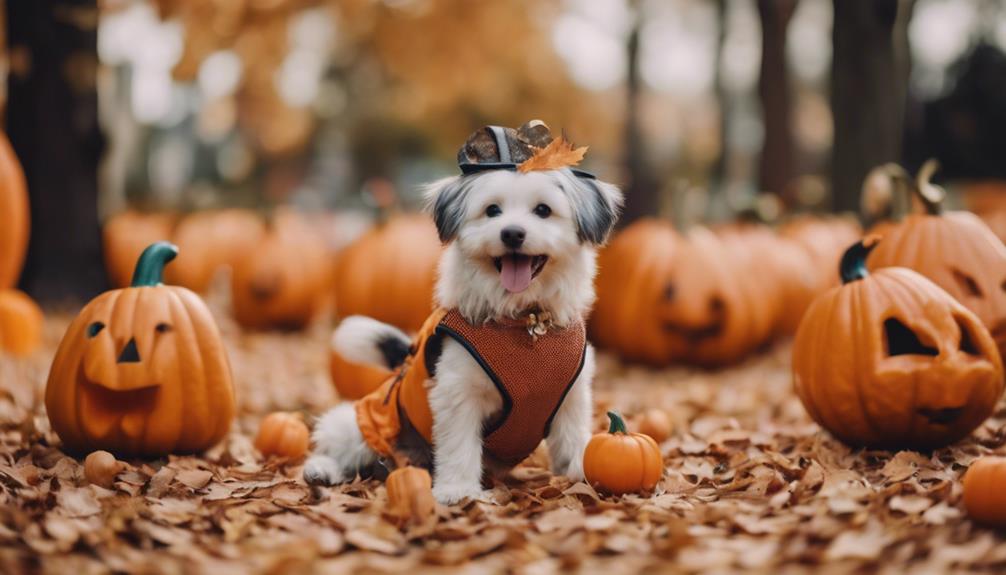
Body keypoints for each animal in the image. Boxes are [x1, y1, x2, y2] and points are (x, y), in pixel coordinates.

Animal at [305, 124, 619, 502]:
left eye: (543, 210)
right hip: (371, 419)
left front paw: (581, 474)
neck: (525, 322)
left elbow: (573, 440)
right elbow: (459, 446)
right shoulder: (458, 393)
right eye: (492, 210)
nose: (512, 233)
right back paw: (322, 469)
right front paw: (458, 491)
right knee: (340, 442)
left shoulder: (571, 398)